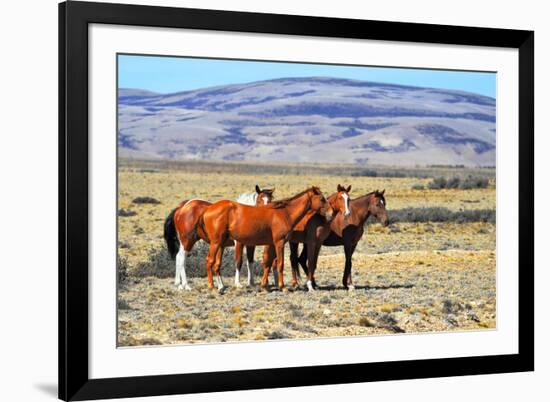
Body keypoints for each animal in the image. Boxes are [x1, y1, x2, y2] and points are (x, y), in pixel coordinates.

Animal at [201, 187, 334, 290]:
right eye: (321, 199)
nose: (331, 213)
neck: (285, 213)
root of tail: (208, 209)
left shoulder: (272, 244)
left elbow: (269, 263)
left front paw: (265, 285)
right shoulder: (279, 243)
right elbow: (280, 264)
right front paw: (282, 286)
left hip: (221, 244)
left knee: (216, 264)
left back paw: (220, 286)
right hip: (216, 242)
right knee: (209, 260)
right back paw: (211, 286)